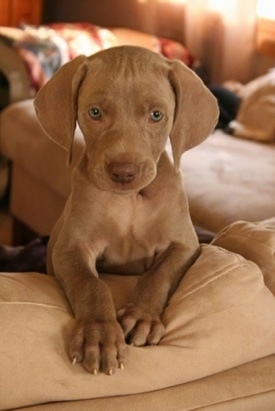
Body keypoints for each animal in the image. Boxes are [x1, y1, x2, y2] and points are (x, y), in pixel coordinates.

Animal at [34, 45, 220, 376]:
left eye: (156, 115)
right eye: (95, 112)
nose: (124, 172)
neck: (130, 201)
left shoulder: (185, 244)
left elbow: (159, 274)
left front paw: (142, 316)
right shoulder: (69, 248)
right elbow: (91, 284)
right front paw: (98, 333)